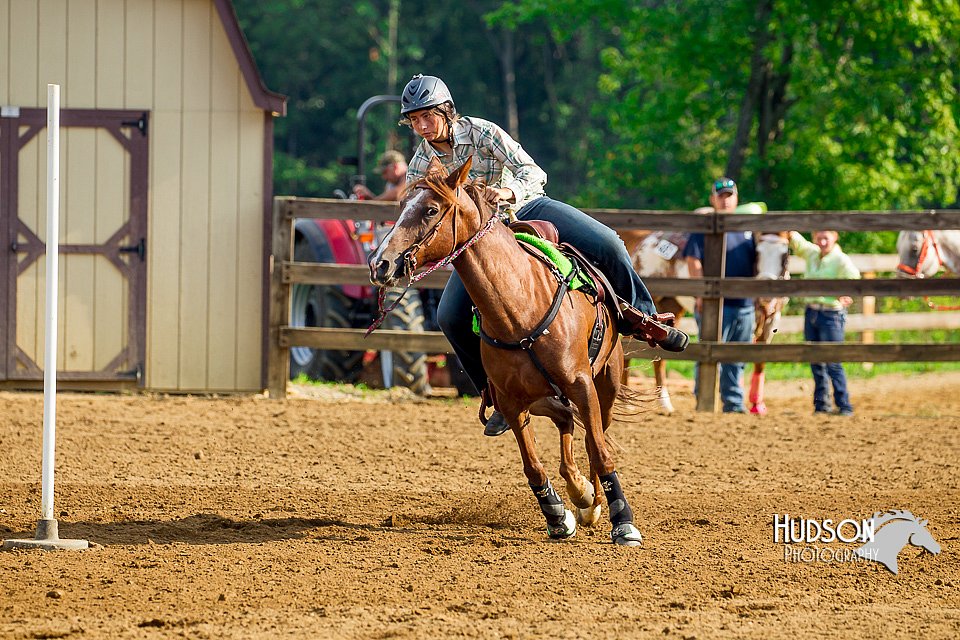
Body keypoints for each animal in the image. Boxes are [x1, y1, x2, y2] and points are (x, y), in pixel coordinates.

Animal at [370, 159, 660, 544]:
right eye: (402, 206)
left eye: (430, 209)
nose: (380, 264)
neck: (518, 306)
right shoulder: (510, 401)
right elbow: (532, 465)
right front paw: (557, 516)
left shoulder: (581, 384)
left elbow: (598, 451)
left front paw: (622, 521)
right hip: (540, 397)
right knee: (565, 422)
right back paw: (579, 493)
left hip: (606, 385)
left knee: (593, 435)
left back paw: (593, 499)